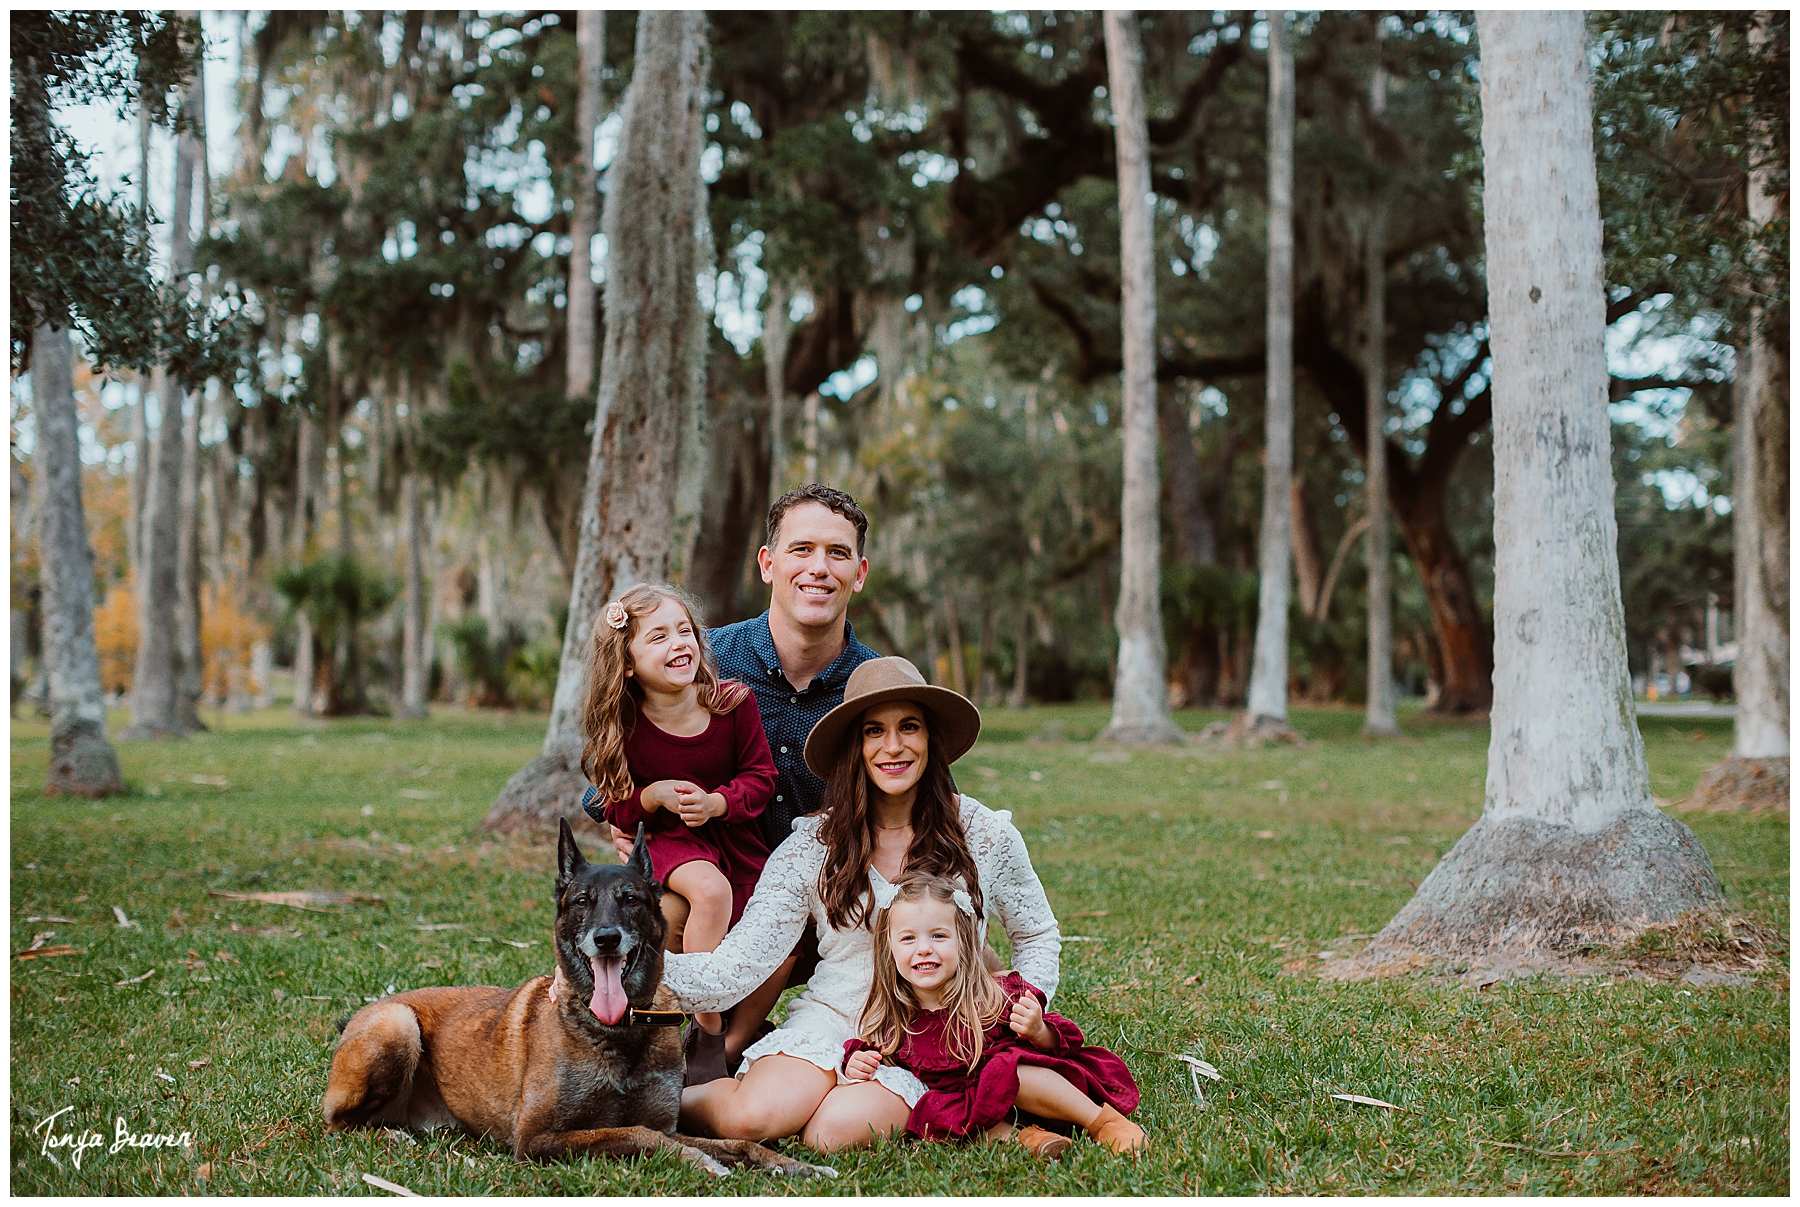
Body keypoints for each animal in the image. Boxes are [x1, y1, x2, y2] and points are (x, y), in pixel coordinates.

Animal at [322, 820, 828, 1180]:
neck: (618, 1031)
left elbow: (738, 1144)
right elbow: (638, 1134)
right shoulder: (537, 1138)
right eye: (582, 901)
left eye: (630, 899)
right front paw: (701, 1162)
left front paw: (795, 1165)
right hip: (398, 1025)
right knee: (340, 1125)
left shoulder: (664, 1121)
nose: (606, 939)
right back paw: (392, 1139)